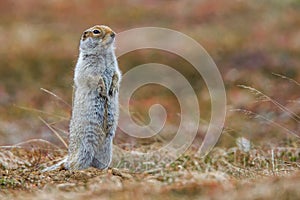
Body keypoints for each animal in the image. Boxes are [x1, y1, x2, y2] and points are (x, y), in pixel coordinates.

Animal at [42, 25, 122, 171]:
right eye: (96, 31)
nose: (113, 34)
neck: (103, 53)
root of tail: (68, 158)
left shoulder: (115, 66)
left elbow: (116, 75)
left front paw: (113, 88)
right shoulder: (87, 67)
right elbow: (94, 78)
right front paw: (103, 91)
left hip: (106, 151)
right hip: (84, 150)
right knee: (73, 165)